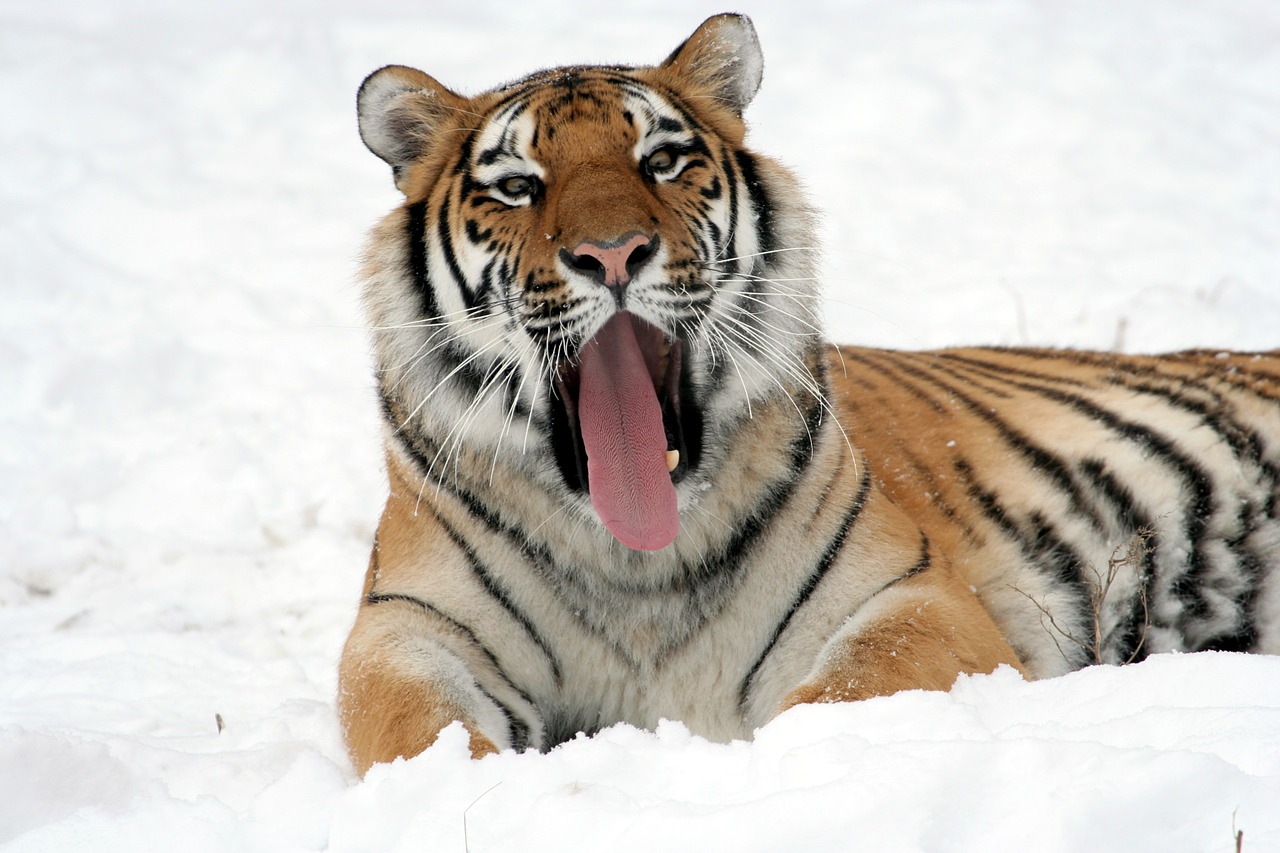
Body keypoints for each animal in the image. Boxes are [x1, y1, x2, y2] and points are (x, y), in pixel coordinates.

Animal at [337, 11, 1280, 768]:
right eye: (517, 186)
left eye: (663, 160)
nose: (612, 253)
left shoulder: (912, 596)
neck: (636, 565)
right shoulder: (406, 625)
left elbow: (844, 693)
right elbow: (416, 727)